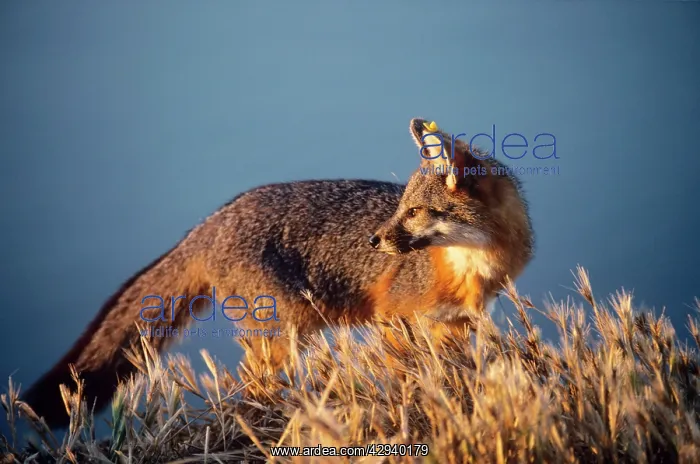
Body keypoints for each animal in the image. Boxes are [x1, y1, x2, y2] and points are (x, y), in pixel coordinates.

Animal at [22, 118, 534, 429]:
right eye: (401, 209)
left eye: (415, 212)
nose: (374, 240)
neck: (470, 266)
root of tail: (211, 221)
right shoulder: (393, 318)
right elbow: (405, 376)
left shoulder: (457, 325)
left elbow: (455, 377)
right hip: (284, 332)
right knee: (248, 386)